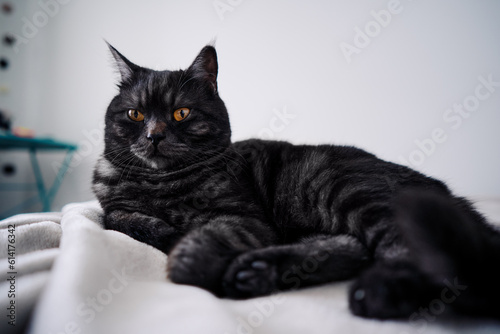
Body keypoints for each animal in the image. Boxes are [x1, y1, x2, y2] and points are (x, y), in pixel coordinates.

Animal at [93, 43, 500, 320]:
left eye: (181, 113)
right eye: (135, 114)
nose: (154, 136)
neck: (161, 184)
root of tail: (452, 198)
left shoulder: (243, 217)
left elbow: (211, 233)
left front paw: (187, 264)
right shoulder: (110, 205)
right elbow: (117, 217)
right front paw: (164, 232)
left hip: (347, 188)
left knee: (404, 251)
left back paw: (377, 293)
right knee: (353, 248)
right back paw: (254, 273)